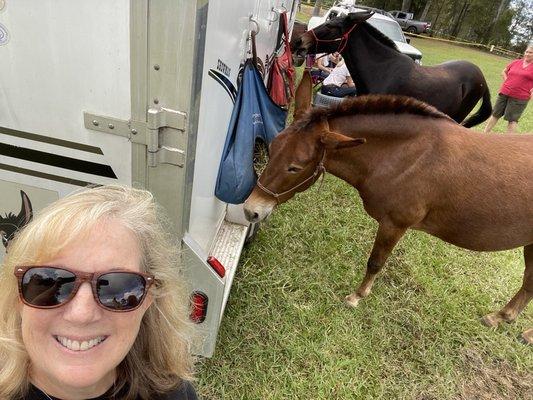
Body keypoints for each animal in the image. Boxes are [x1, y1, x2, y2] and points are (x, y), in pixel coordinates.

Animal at [244, 90, 532, 344]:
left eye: (295, 167)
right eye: (273, 146)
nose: (251, 209)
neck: (409, 155)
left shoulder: (395, 223)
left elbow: (375, 262)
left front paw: (357, 296)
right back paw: (502, 317)